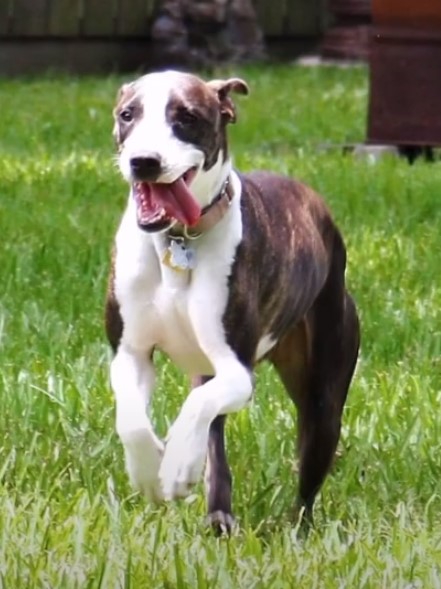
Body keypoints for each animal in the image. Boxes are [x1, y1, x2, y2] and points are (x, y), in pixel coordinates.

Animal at [105, 70, 360, 532]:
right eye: (128, 114)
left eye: (187, 116)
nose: (144, 161)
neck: (178, 240)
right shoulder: (130, 352)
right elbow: (132, 418)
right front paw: (150, 471)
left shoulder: (237, 370)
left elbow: (198, 407)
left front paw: (175, 466)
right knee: (214, 438)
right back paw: (217, 512)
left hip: (324, 394)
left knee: (307, 477)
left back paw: (294, 526)